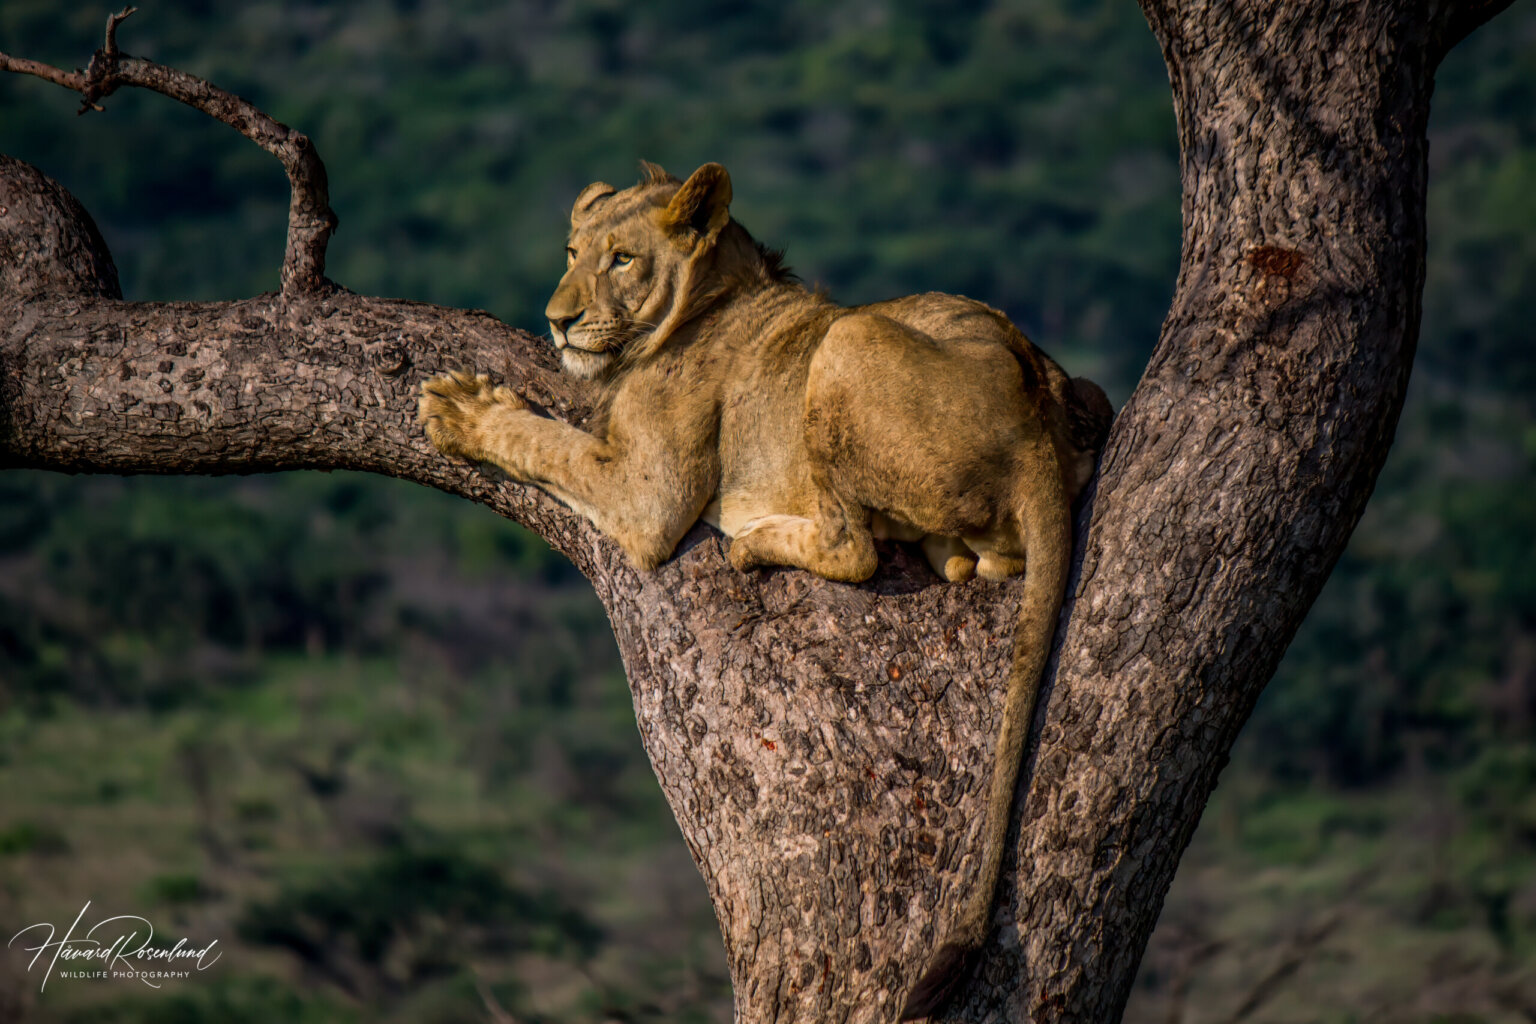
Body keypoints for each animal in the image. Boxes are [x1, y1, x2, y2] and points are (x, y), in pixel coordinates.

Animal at [419, 161, 1113, 1020]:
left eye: (623, 259)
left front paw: (460, 410)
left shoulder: (648, 495)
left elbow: (546, 440)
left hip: (844, 344)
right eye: (574, 252)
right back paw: (945, 556)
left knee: (853, 547)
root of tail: (1035, 429)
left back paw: (752, 544)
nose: (558, 321)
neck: (706, 297)